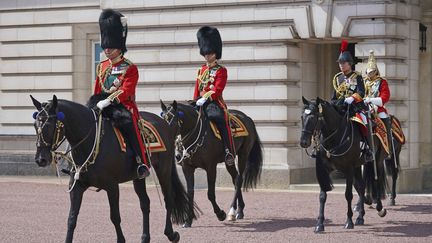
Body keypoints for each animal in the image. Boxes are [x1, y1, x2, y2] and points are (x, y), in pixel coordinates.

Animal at [30, 95, 199, 243]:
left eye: (48, 125)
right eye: (35, 125)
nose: (40, 159)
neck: (90, 142)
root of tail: (165, 124)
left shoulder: (112, 186)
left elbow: (115, 217)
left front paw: (121, 239)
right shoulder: (77, 186)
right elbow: (71, 218)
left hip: (163, 168)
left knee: (168, 198)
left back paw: (171, 234)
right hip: (138, 176)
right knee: (145, 203)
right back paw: (145, 238)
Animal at [159, 99, 264, 227]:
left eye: (171, 120)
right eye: (162, 119)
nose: (178, 154)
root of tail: (247, 117)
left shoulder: (211, 167)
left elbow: (210, 194)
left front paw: (220, 214)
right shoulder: (187, 168)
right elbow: (190, 193)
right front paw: (188, 220)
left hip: (243, 154)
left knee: (239, 179)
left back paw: (231, 212)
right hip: (229, 161)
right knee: (235, 179)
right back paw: (239, 211)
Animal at [300, 96, 388, 233]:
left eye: (313, 117)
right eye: (301, 117)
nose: (303, 142)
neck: (334, 137)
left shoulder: (348, 169)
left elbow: (348, 195)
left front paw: (349, 221)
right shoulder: (325, 169)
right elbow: (322, 196)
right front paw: (319, 224)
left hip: (377, 160)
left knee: (376, 182)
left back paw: (379, 208)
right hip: (358, 166)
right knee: (361, 187)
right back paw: (360, 217)